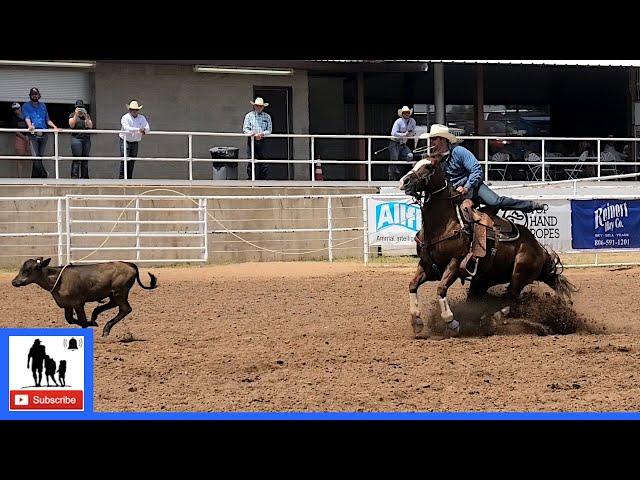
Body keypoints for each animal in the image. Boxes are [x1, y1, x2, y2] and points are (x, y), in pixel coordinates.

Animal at [400, 158, 576, 338]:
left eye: (429, 167)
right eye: (414, 164)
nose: (405, 181)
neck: (443, 224)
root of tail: (538, 248)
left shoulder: (455, 263)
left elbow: (441, 288)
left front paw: (452, 323)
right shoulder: (427, 265)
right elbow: (412, 285)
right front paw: (416, 321)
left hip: (519, 274)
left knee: (511, 300)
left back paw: (491, 319)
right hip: (483, 280)